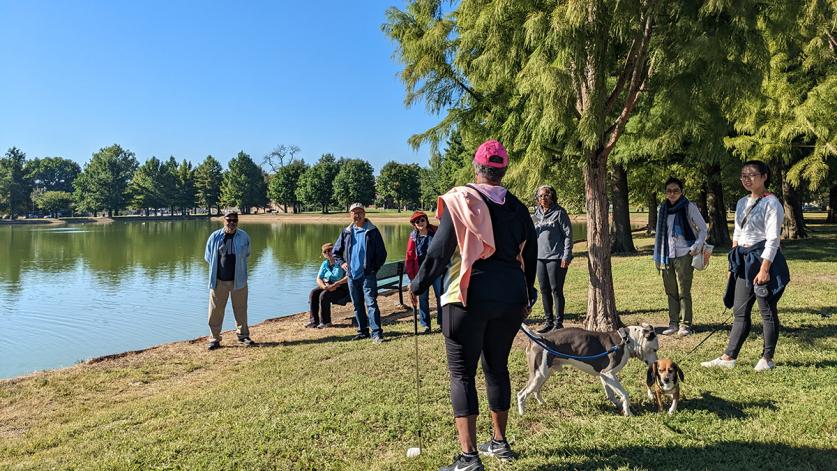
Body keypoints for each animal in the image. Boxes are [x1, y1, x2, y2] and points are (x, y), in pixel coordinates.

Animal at [516, 324, 660, 416]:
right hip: (539, 375)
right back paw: (522, 414)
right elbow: (625, 394)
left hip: (544, 374)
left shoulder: (605, 376)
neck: (626, 340)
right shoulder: (609, 373)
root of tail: (539, 337)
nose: (656, 363)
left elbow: (611, 394)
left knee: (536, 390)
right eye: (655, 349)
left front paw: (620, 406)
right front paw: (628, 412)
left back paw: (542, 403)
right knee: (522, 394)